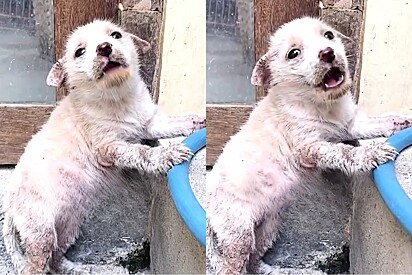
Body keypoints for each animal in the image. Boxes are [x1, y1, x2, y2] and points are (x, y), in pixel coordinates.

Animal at [1, 20, 204, 275]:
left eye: (115, 35)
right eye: (79, 52)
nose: (105, 47)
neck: (118, 97)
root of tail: (9, 207)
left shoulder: (150, 123)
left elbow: (174, 122)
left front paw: (198, 121)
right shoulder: (109, 147)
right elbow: (141, 152)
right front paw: (168, 153)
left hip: (68, 222)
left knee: (55, 257)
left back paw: (79, 268)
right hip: (41, 230)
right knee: (35, 265)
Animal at [208, 17, 410, 275]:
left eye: (329, 35)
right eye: (293, 53)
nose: (328, 53)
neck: (322, 105)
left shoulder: (351, 125)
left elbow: (376, 123)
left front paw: (400, 121)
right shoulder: (310, 147)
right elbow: (344, 151)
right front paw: (372, 152)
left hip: (268, 227)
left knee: (254, 260)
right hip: (238, 233)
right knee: (233, 266)